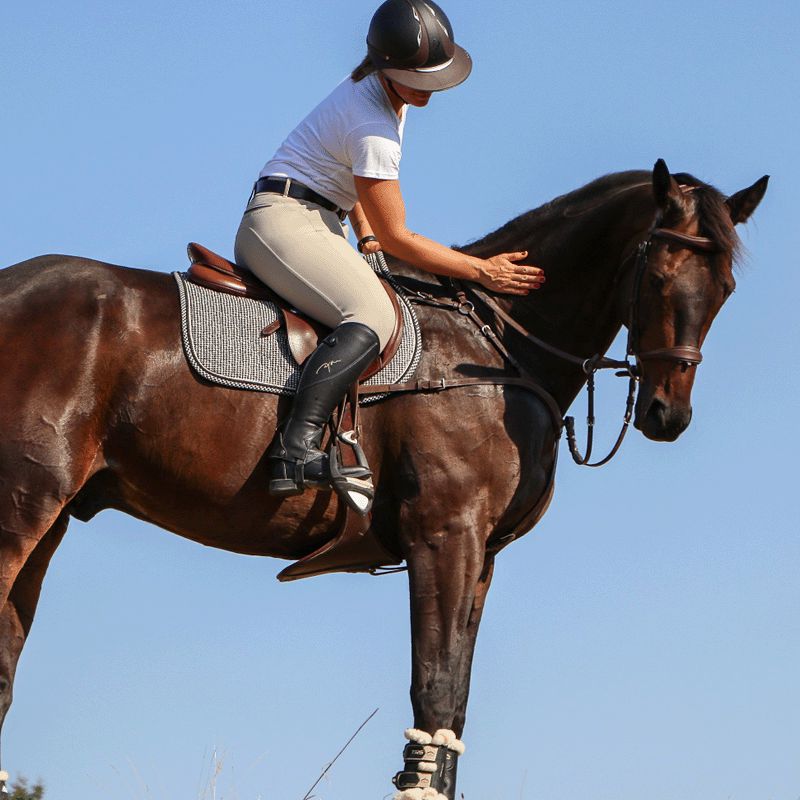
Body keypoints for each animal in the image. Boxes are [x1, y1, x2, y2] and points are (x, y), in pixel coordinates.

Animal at [0, 159, 767, 798]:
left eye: (726, 288)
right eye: (660, 277)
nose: (669, 414)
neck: (495, 349)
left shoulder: (481, 556)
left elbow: (455, 700)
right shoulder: (445, 536)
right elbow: (435, 685)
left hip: (51, 520)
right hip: (23, 508)